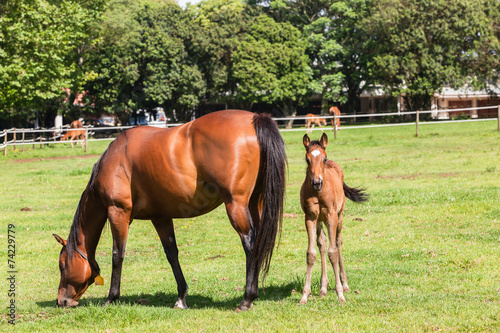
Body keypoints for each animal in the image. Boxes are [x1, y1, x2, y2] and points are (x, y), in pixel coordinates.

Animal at [53, 110, 286, 310]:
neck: (115, 159)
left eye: (62, 265)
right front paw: (181, 297)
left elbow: (117, 255)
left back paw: (247, 299)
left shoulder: (117, 212)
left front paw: (112, 297)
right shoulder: (161, 217)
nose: (61, 301)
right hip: (255, 203)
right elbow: (172, 254)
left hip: (236, 205)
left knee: (250, 244)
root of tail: (255, 119)